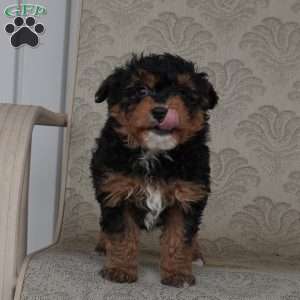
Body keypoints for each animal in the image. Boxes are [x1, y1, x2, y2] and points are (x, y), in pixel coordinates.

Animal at [90, 52, 219, 288]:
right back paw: (102, 246)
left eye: (184, 93)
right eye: (141, 90)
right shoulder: (117, 191)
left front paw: (178, 274)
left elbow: (179, 238)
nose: (161, 111)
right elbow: (122, 235)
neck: (155, 154)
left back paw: (195, 255)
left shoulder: (187, 195)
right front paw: (120, 269)